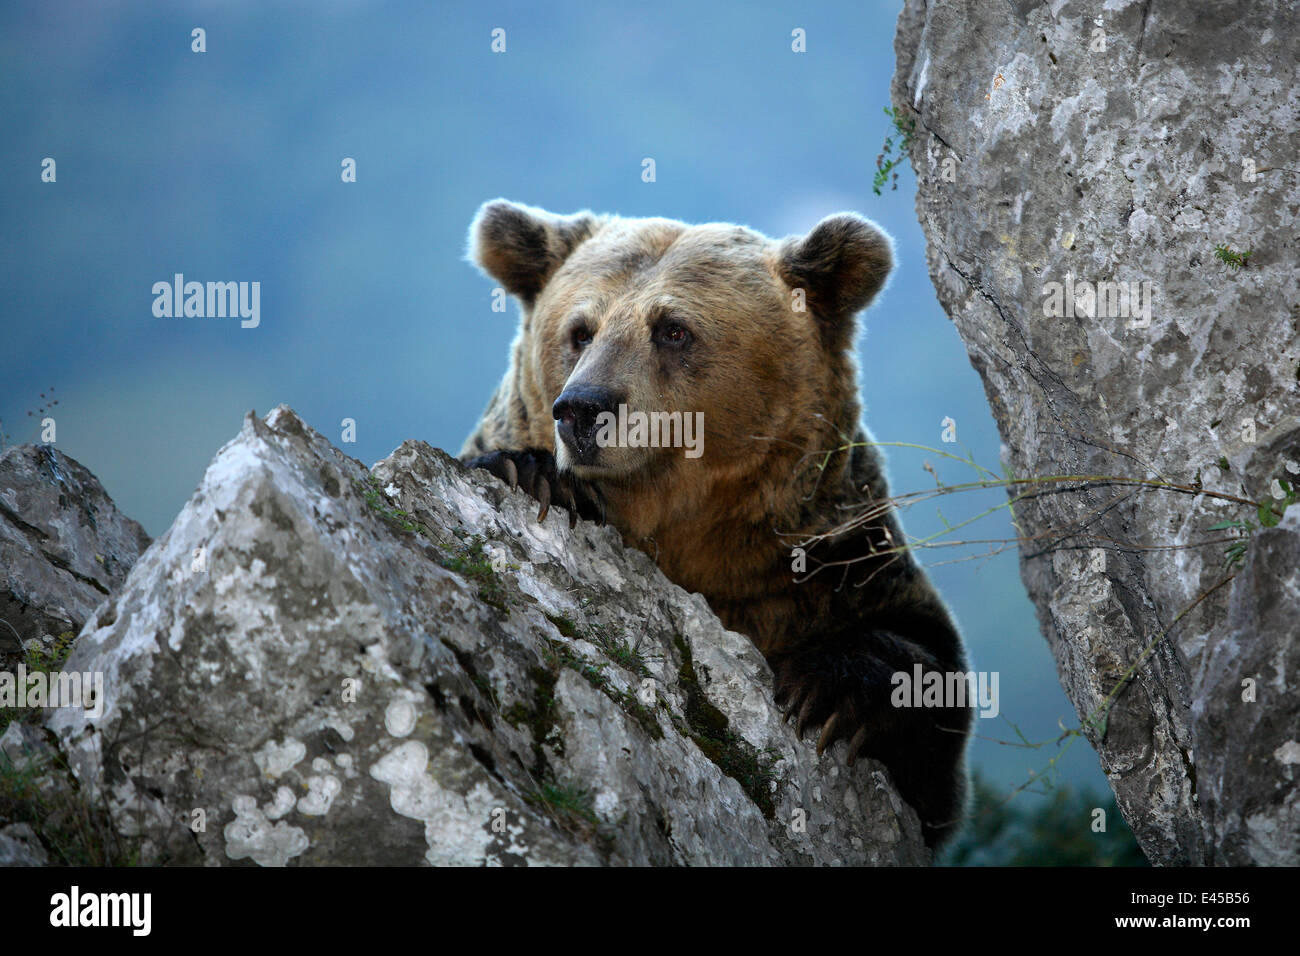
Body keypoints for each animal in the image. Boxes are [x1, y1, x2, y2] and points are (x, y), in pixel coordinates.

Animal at [462, 197, 972, 848]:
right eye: (580, 331)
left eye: (673, 329)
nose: (583, 408)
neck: (683, 519)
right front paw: (532, 473)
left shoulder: (822, 555)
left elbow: (928, 674)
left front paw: (826, 690)